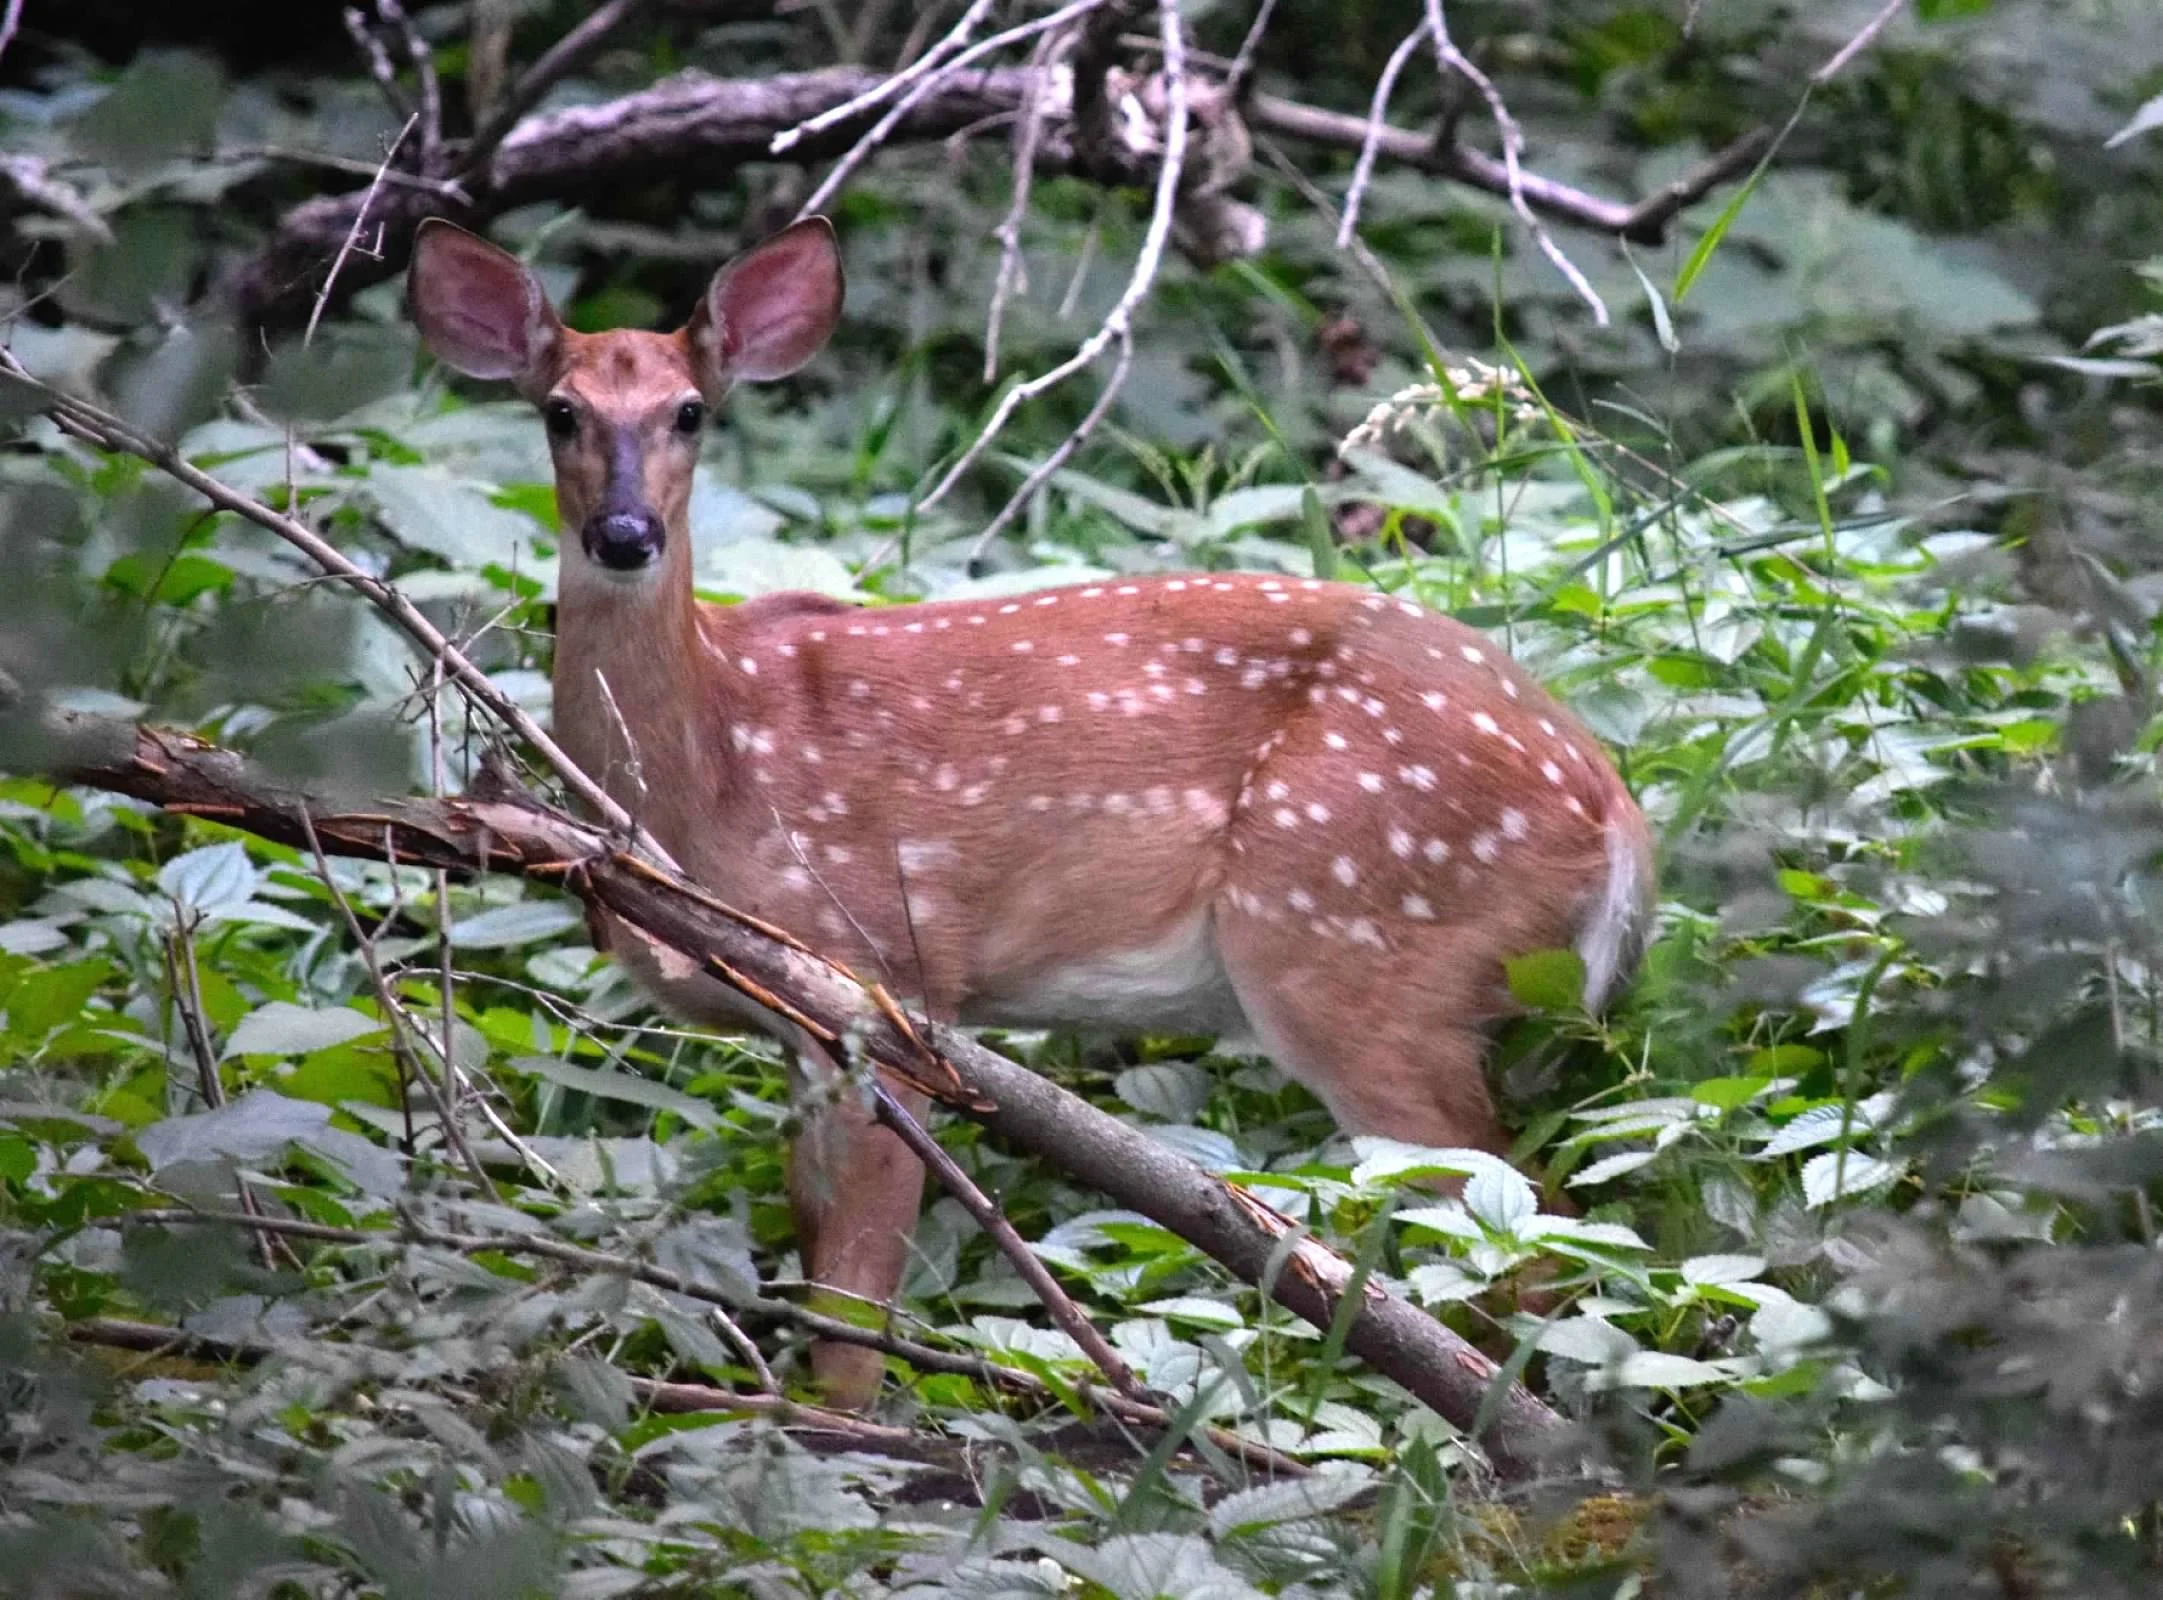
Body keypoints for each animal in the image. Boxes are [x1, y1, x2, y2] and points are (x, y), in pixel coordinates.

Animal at [405, 214, 1656, 1409]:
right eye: (560, 411)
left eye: (691, 413)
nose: (624, 536)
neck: (712, 766)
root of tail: (1613, 810)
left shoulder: (885, 982)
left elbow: (854, 1316)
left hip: (1362, 950)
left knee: (1519, 1218)